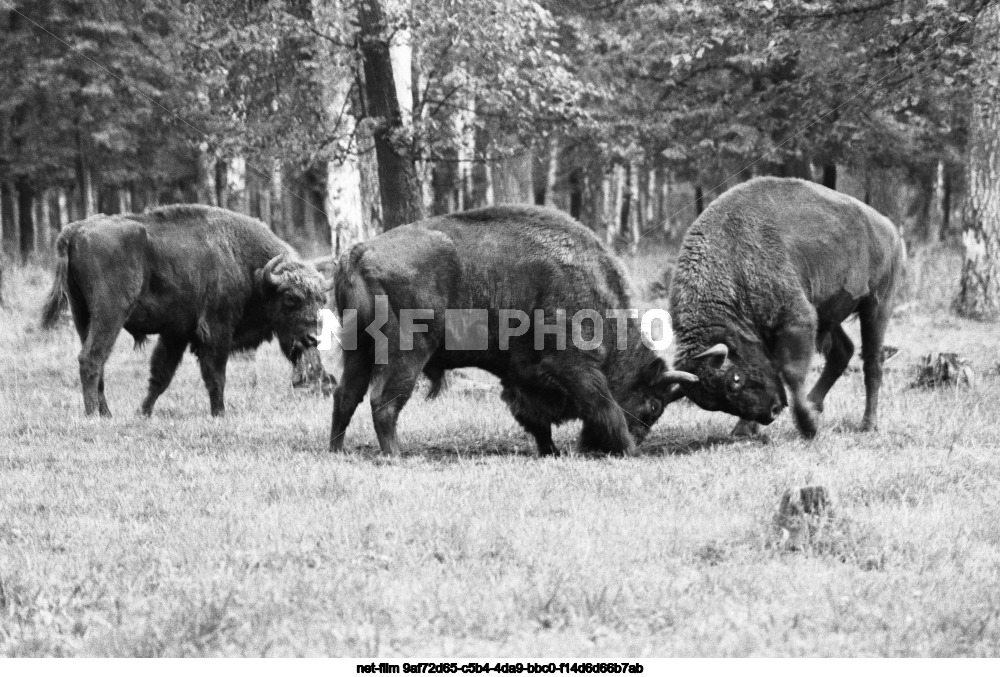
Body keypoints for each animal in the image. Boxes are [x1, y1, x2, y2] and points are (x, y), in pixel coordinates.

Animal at [41, 205, 326, 418]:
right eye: (291, 298)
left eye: (321, 299)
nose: (313, 338)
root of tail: (74, 231)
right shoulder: (216, 332)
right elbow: (215, 375)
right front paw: (219, 413)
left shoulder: (176, 334)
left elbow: (161, 376)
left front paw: (143, 413)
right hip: (109, 314)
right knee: (91, 358)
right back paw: (93, 415)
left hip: (82, 315)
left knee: (96, 361)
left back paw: (106, 413)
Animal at [328, 205, 696, 454]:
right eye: (653, 406)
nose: (594, 447)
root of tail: (360, 252)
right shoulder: (574, 367)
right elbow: (604, 406)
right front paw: (627, 450)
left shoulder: (520, 375)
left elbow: (536, 420)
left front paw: (552, 451)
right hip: (407, 350)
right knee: (384, 401)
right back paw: (395, 455)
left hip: (358, 349)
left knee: (346, 396)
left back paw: (337, 451)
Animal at [672, 177, 908, 436]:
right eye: (716, 403)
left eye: (735, 380)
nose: (771, 413)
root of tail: (889, 228)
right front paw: (743, 429)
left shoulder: (797, 321)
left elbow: (791, 372)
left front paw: (808, 426)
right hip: (826, 313)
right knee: (842, 351)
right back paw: (815, 405)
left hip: (877, 305)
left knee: (872, 362)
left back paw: (867, 424)